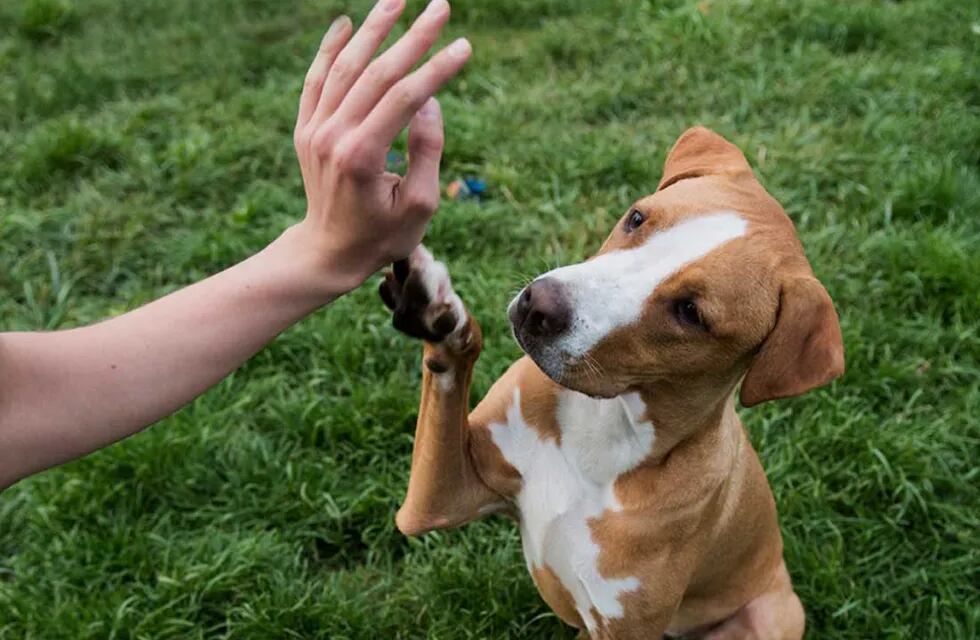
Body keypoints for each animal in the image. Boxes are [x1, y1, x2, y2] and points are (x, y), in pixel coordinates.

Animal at [378, 127, 848, 636]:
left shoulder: (623, 625)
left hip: (773, 612)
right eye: (637, 217)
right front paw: (435, 308)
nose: (539, 306)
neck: (604, 425)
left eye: (691, 312)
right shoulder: (438, 500)